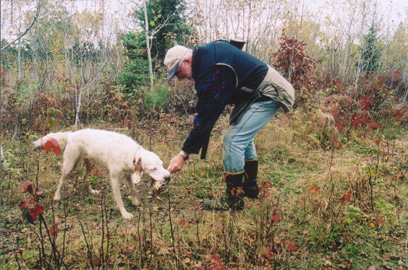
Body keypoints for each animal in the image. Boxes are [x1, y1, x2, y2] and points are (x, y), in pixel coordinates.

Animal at [32, 129, 171, 219]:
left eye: (161, 164)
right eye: (153, 168)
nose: (168, 177)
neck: (132, 154)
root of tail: (71, 134)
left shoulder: (128, 175)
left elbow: (133, 190)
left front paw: (135, 201)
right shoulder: (114, 178)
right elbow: (119, 199)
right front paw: (125, 214)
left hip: (91, 164)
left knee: (85, 179)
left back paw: (91, 191)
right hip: (70, 165)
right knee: (61, 180)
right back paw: (57, 196)